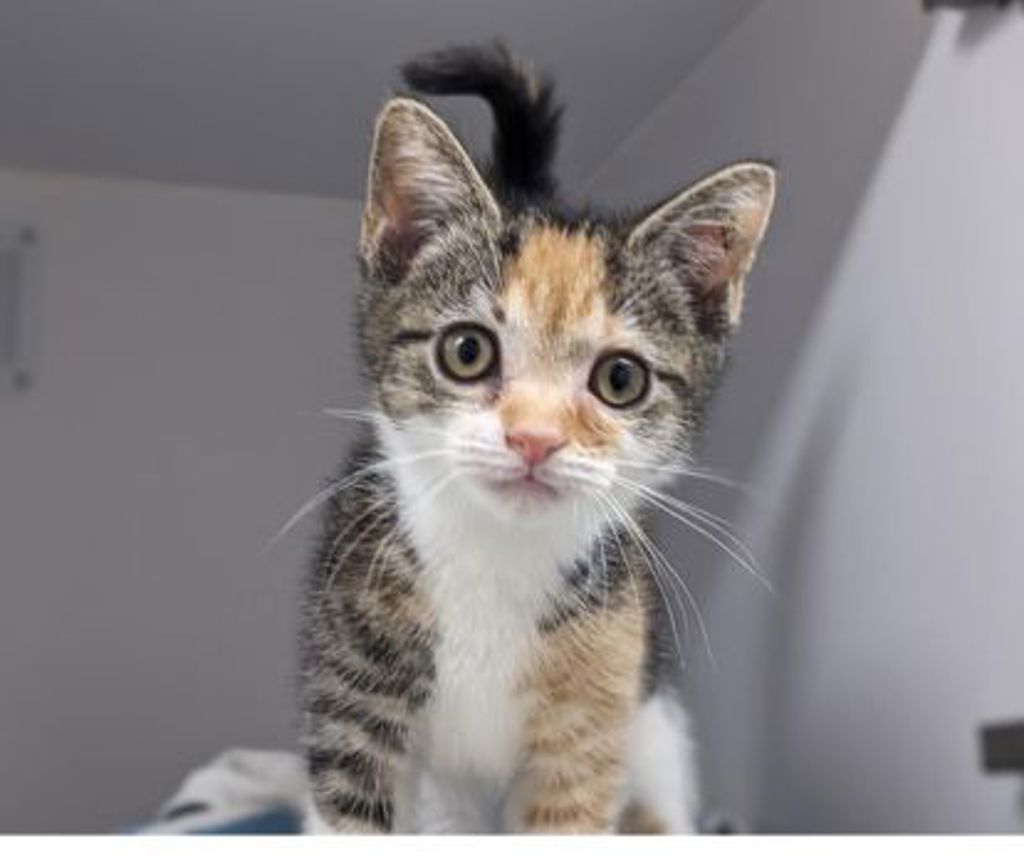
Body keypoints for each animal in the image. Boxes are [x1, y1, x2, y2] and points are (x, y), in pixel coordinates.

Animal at [299, 43, 776, 834]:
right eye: (467, 352)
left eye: (620, 379)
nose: (534, 439)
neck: (495, 556)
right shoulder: (353, 685)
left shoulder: (594, 708)